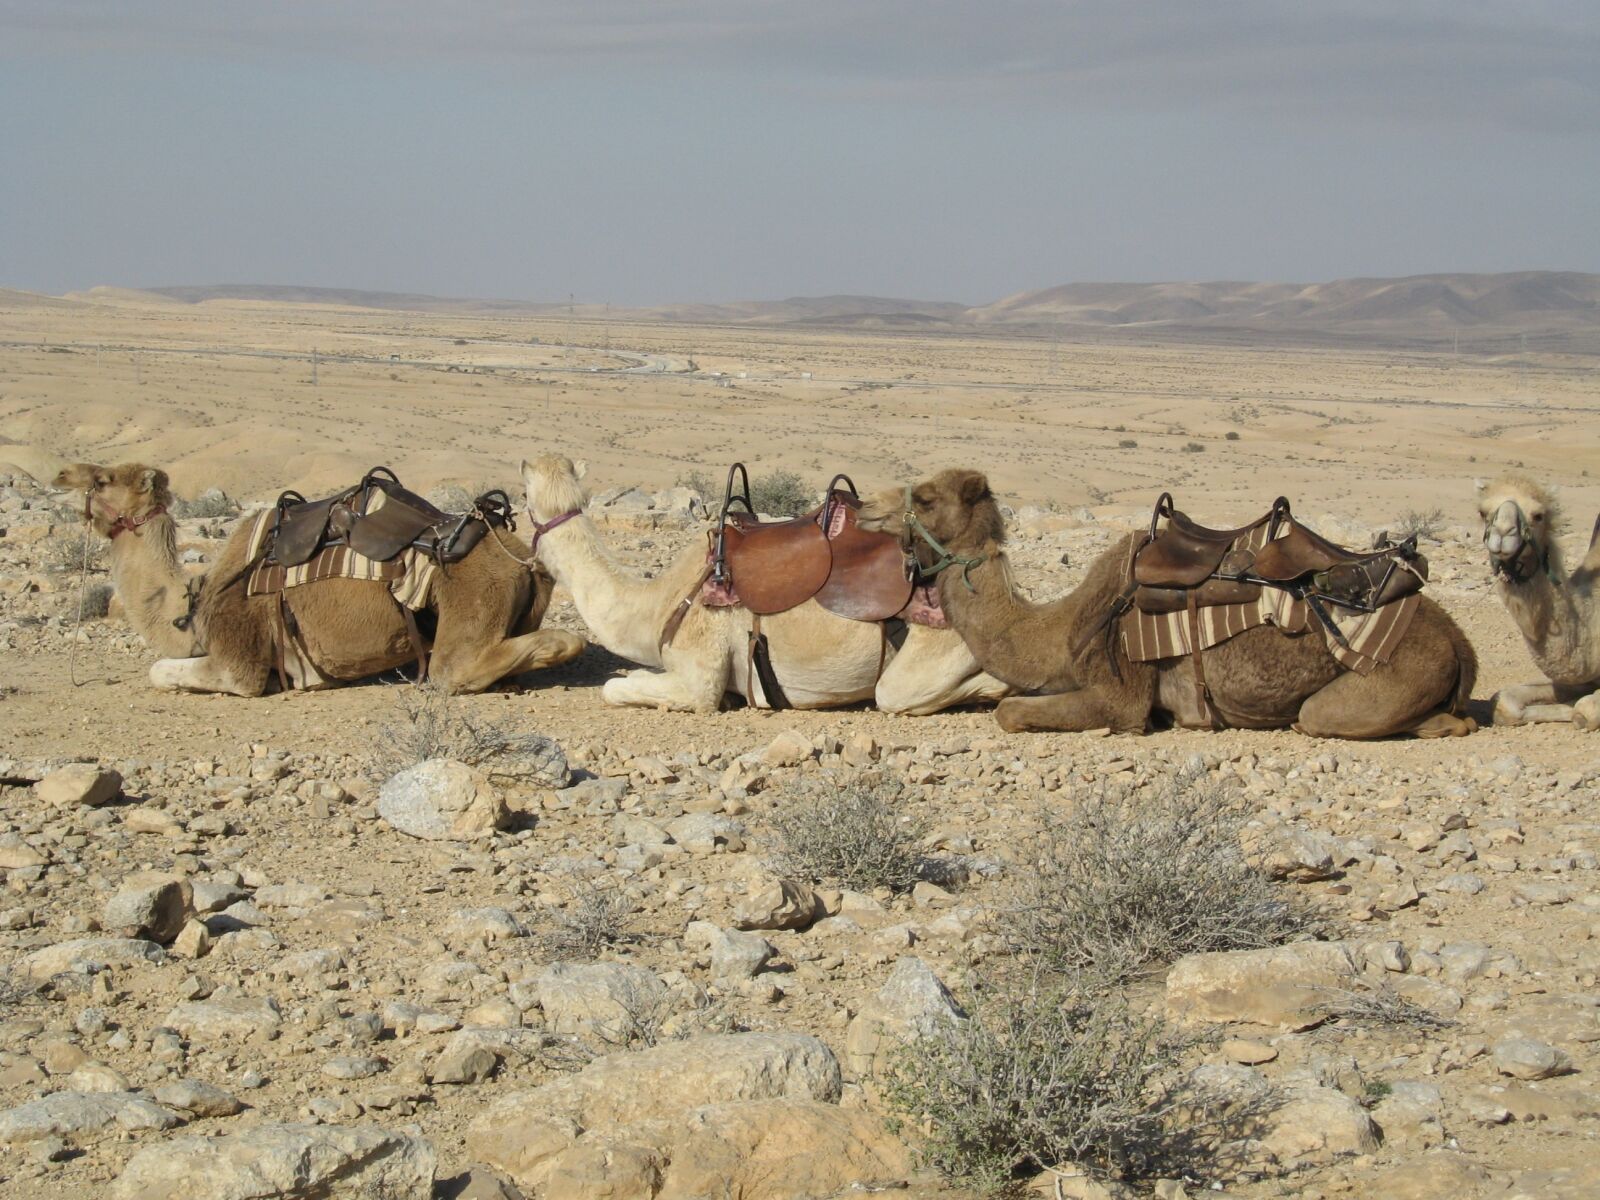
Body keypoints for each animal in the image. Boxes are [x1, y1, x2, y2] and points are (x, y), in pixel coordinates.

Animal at [59, 464, 592, 700]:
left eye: (102, 481)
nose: (64, 475)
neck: (193, 602)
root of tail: (522, 559)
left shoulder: (240, 663)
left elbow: (161, 671)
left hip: (469, 602)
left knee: (458, 668)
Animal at [518, 454, 1004, 713]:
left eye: (522, 497)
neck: (661, 602)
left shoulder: (700, 674)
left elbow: (615, 686)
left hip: (927, 657)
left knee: (906, 691)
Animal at [857, 473, 1478, 742]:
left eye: (925, 498)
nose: (861, 506)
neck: (1060, 627)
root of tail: (1459, 641)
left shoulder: (1120, 692)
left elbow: (1010, 712)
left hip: (1382, 681)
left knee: (1332, 717)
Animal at [1472, 473, 1600, 729]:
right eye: (1483, 512)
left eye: (1539, 515)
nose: (1503, 532)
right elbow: (1503, 701)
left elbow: (1584, 711)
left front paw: (1575, 709)